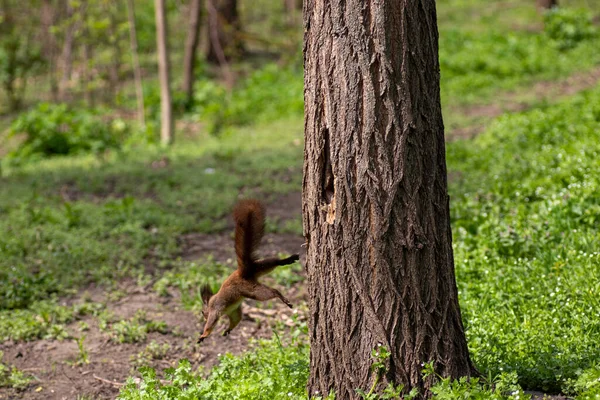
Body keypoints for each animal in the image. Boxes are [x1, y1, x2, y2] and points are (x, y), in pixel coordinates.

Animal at [197, 198, 300, 342]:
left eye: (203, 312)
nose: (204, 317)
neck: (211, 301)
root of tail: (243, 271)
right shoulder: (233, 310)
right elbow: (236, 319)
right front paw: (228, 330)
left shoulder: (215, 309)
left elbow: (212, 322)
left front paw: (203, 335)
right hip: (259, 267)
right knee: (273, 262)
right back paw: (288, 260)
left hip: (252, 290)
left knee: (272, 291)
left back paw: (282, 298)